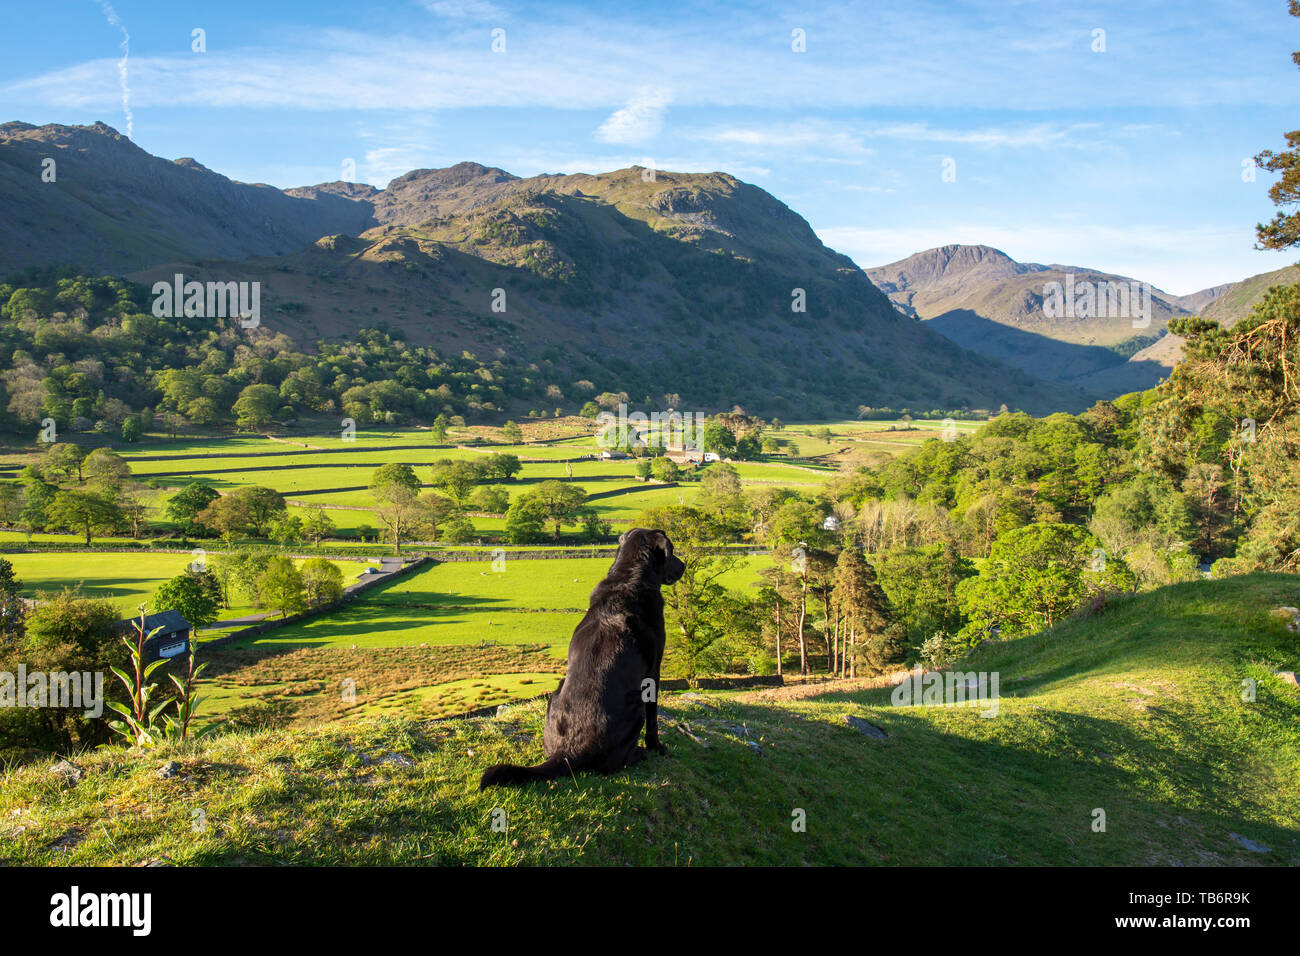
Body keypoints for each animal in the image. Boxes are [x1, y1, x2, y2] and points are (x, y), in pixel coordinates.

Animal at [475, 528, 681, 790]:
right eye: (672, 550)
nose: (684, 565)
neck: (628, 576)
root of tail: (568, 752)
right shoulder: (653, 671)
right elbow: (654, 718)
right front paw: (657, 747)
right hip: (636, 704)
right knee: (613, 763)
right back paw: (638, 754)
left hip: (554, 694)